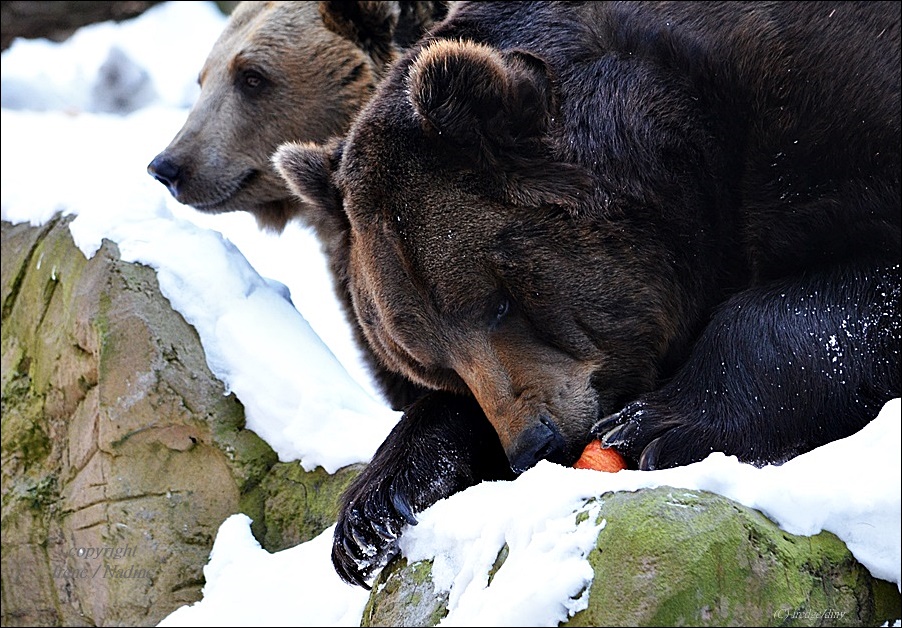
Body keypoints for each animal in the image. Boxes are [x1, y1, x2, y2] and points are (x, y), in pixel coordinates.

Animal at [274, 1, 902, 588]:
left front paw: (657, 424)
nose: (533, 444)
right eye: (430, 360)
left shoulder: (831, 117)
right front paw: (372, 511)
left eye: (499, 301)